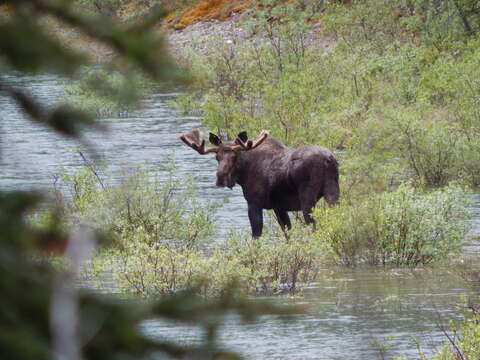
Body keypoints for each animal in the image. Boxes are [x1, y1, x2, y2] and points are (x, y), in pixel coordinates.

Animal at [179, 128, 338, 238]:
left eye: (234, 156)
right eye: (217, 157)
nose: (220, 177)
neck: (243, 174)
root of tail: (328, 159)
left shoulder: (254, 203)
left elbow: (256, 235)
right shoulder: (279, 207)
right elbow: (287, 233)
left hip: (307, 198)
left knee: (314, 225)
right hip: (333, 193)